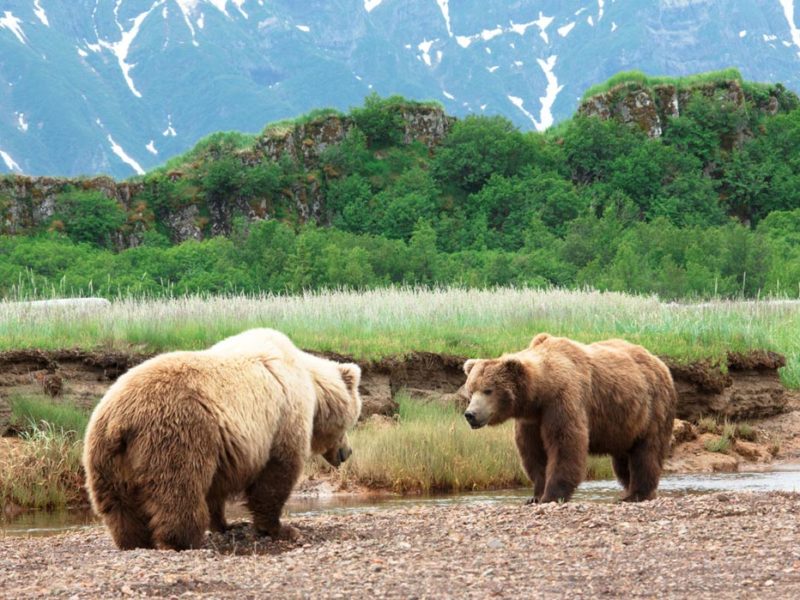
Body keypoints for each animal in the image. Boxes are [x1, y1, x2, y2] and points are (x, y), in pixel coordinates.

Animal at [83, 330, 360, 552]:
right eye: (353, 420)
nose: (348, 452)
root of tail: (119, 421)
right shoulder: (284, 417)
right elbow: (277, 474)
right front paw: (280, 529)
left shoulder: (226, 443)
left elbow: (216, 488)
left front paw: (226, 524)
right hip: (177, 433)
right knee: (178, 491)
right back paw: (183, 541)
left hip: (105, 457)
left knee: (119, 507)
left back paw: (134, 541)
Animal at [462, 332, 676, 502]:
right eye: (471, 390)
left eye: (488, 390)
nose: (470, 414)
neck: (540, 393)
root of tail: (660, 363)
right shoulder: (531, 420)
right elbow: (533, 452)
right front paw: (535, 496)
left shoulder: (563, 400)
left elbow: (565, 444)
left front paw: (551, 495)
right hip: (624, 422)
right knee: (623, 461)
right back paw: (629, 490)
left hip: (652, 409)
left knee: (646, 452)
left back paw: (637, 494)